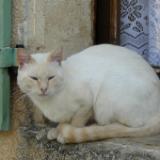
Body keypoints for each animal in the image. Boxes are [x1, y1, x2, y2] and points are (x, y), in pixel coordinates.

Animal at [17, 44, 160, 144]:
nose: (44, 89)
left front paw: (62, 133)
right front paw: (56, 130)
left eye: (51, 78)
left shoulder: (86, 104)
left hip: (104, 102)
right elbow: (64, 121)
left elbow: (75, 123)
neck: (48, 103)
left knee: (127, 126)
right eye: (34, 78)